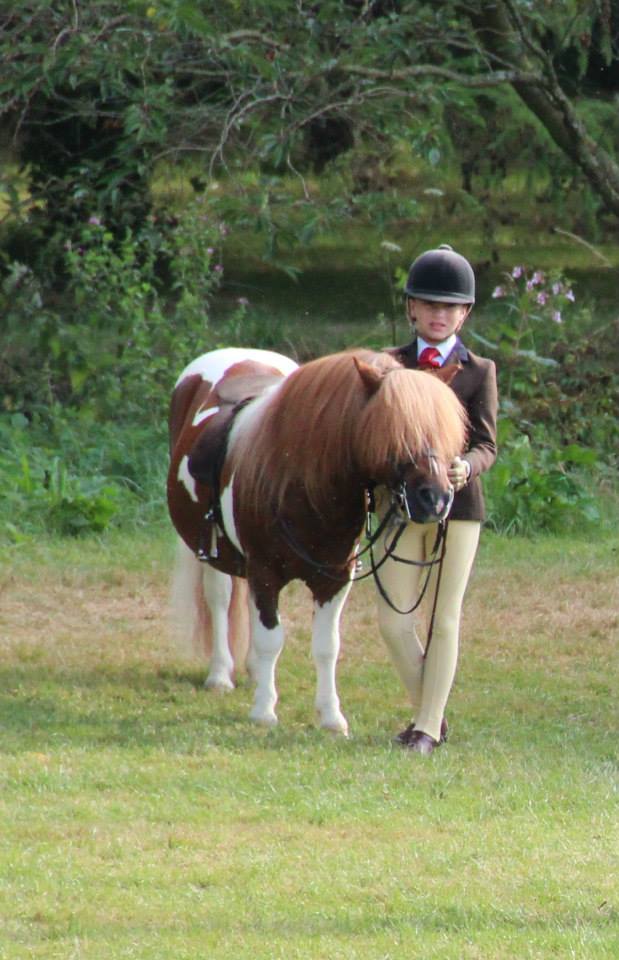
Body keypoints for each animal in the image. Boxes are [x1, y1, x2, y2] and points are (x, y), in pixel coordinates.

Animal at [167, 348, 468, 732]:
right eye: (390, 431)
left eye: (447, 432)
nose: (437, 500)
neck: (302, 486)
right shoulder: (265, 572)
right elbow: (271, 639)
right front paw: (264, 711)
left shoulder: (335, 580)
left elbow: (327, 646)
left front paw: (331, 716)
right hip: (214, 553)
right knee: (219, 598)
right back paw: (221, 674)